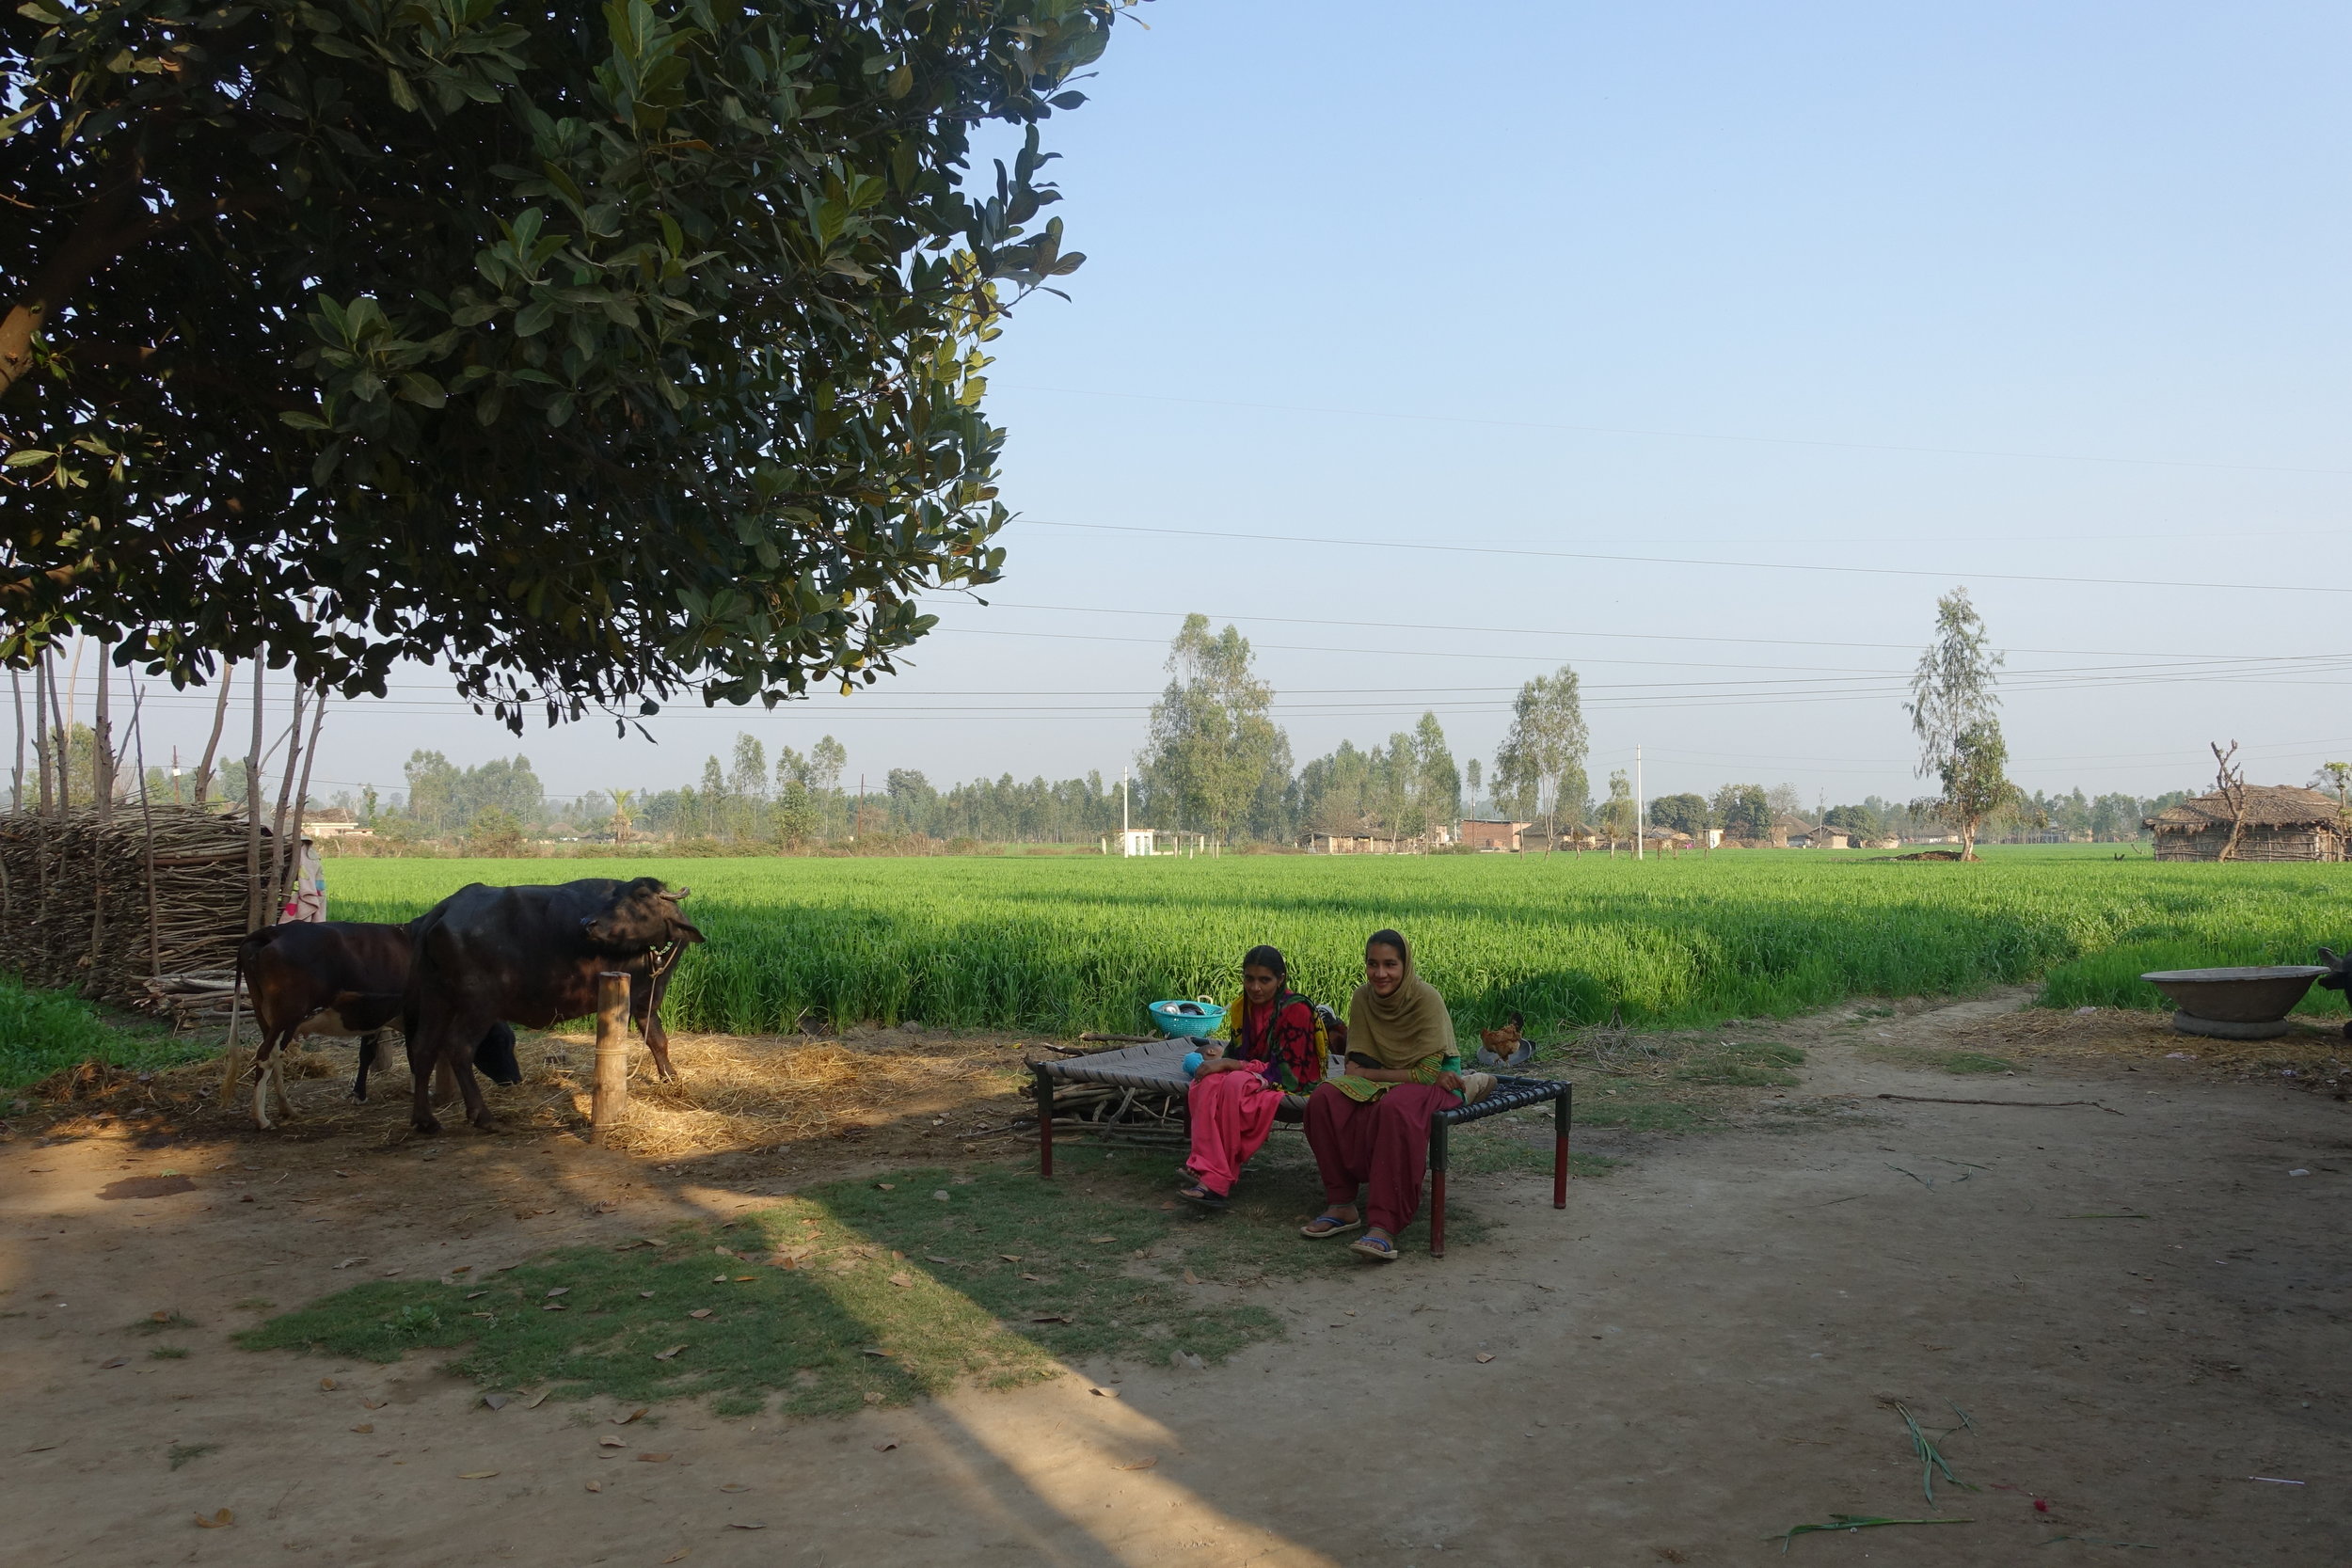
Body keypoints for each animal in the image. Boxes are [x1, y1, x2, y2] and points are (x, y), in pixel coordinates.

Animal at [405, 883, 701, 1128]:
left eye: (640, 897)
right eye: (618, 896)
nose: (588, 923)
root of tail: (445, 908)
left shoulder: (645, 1001)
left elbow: (658, 1041)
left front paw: (671, 1080)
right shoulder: (637, 1000)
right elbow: (655, 1041)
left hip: (435, 997)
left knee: (423, 1048)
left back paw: (424, 1120)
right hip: (478, 1005)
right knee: (459, 1047)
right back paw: (483, 1117)